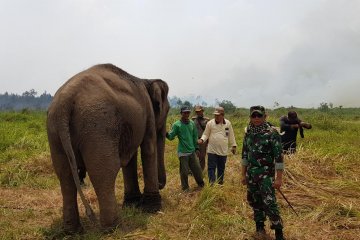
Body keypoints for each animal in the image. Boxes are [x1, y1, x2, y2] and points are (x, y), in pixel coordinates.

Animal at [46, 63, 170, 232]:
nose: (161, 184)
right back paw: (114, 227)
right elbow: (148, 148)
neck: (146, 80)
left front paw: (132, 204)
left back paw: (72, 230)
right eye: (167, 111)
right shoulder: (148, 112)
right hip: (98, 126)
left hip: (55, 133)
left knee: (65, 176)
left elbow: (129, 158)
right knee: (103, 172)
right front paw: (152, 209)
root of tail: (65, 100)